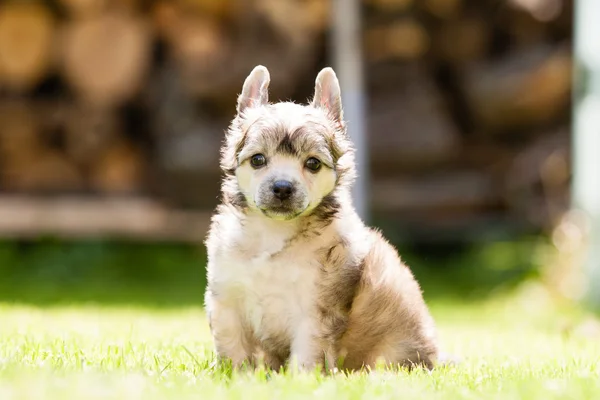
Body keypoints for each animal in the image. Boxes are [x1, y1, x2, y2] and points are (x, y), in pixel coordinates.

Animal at [204, 65, 438, 372]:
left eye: (313, 163)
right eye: (257, 160)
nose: (282, 187)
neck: (274, 234)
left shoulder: (316, 312)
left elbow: (307, 354)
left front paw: (299, 379)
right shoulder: (227, 300)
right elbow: (234, 349)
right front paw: (236, 376)